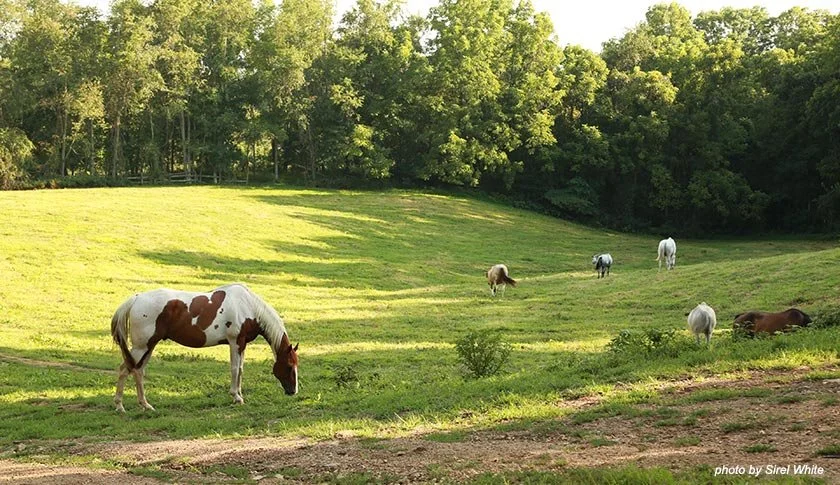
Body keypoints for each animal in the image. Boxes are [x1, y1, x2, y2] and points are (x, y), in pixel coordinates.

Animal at [111, 283, 298, 412]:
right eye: (289, 366)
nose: (293, 391)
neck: (247, 306)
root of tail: (136, 298)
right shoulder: (235, 342)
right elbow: (234, 369)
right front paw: (236, 396)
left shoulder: (242, 344)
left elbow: (241, 369)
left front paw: (239, 395)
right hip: (141, 347)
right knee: (125, 370)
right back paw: (119, 406)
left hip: (149, 346)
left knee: (138, 371)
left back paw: (146, 405)